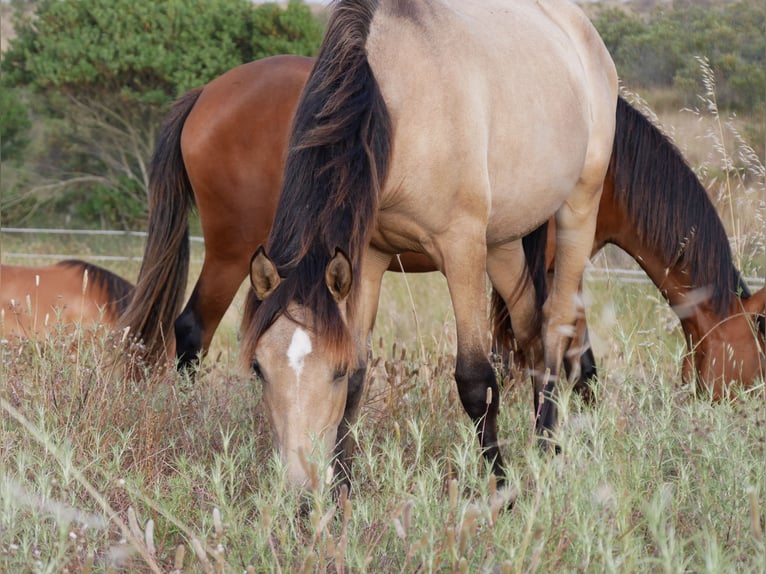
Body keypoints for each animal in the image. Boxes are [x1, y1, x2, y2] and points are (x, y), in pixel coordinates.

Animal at [243, 0, 618, 488]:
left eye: (333, 371)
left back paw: (546, 451)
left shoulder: (460, 248)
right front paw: (343, 489)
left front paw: (501, 488)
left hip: (577, 208)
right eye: (258, 368)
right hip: (503, 243)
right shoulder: (368, 257)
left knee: (555, 327)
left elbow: (476, 382)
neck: (396, 106)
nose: (300, 489)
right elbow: (360, 380)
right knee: (532, 331)